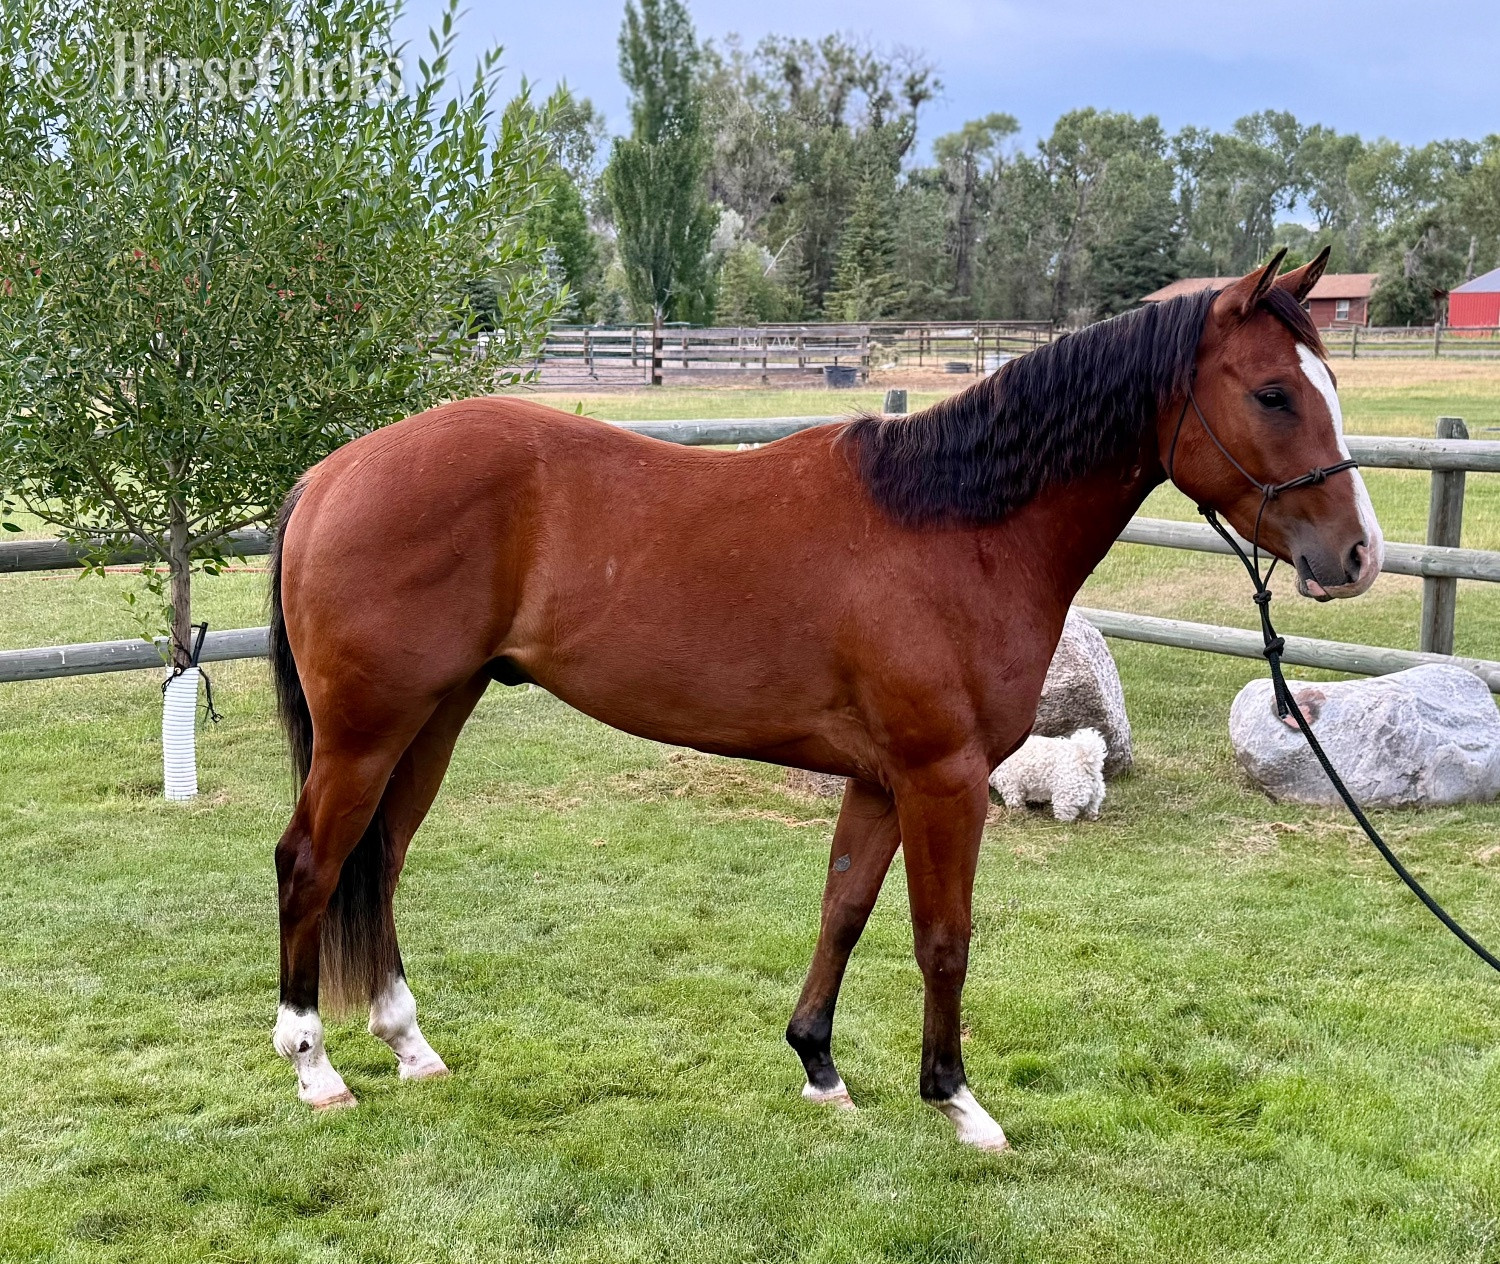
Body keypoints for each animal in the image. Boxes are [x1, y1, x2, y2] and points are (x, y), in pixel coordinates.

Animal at [267, 247, 1382, 1151]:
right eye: (1274, 393)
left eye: (1329, 382)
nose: (1358, 555)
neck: (956, 528)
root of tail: (332, 472)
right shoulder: (945, 779)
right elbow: (943, 938)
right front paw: (957, 1101)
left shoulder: (882, 780)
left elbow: (843, 909)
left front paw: (819, 1065)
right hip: (368, 729)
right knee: (312, 863)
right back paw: (315, 1068)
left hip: (433, 718)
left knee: (382, 861)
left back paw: (409, 1045)